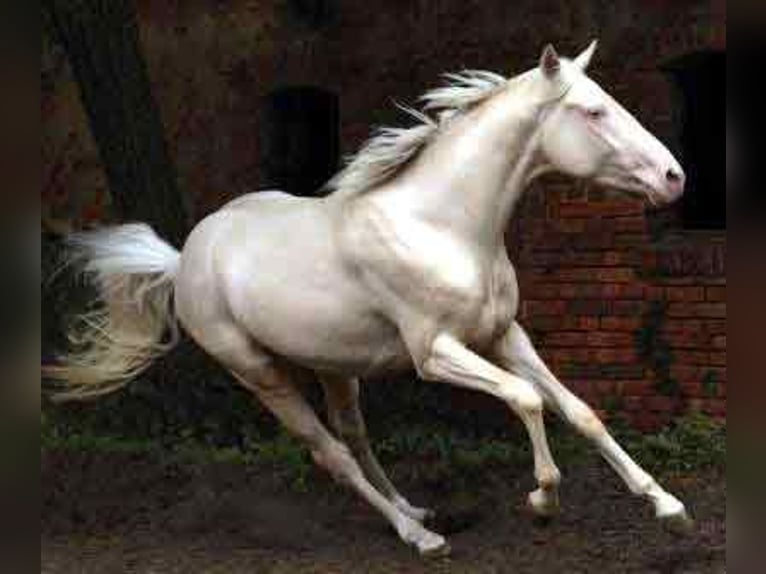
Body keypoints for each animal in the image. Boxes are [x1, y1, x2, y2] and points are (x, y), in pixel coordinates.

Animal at [49, 44, 696, 560]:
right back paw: (421, 538)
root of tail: (183, 259)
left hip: (333, 366)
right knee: (330, 453)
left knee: (354, 437)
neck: (443, 227)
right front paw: (542, 499)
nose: (674, 177)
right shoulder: (435, 353)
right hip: (257, 372)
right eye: (593, 112)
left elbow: (580, 411)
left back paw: (413, 510)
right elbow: (527, 399)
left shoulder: (503, 335)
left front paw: (667, 505)